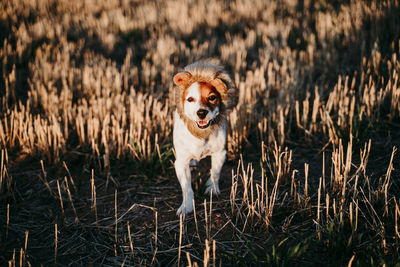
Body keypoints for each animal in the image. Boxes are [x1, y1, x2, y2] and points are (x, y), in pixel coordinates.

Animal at [173, 60, 236, 216]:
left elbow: (215, 173)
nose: (201, 112)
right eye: (190, 99)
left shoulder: (220, 153)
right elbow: (186, 187)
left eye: (212, 97)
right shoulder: (181, 162)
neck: (201, 134)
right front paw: (186, 206)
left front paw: (212, 189)